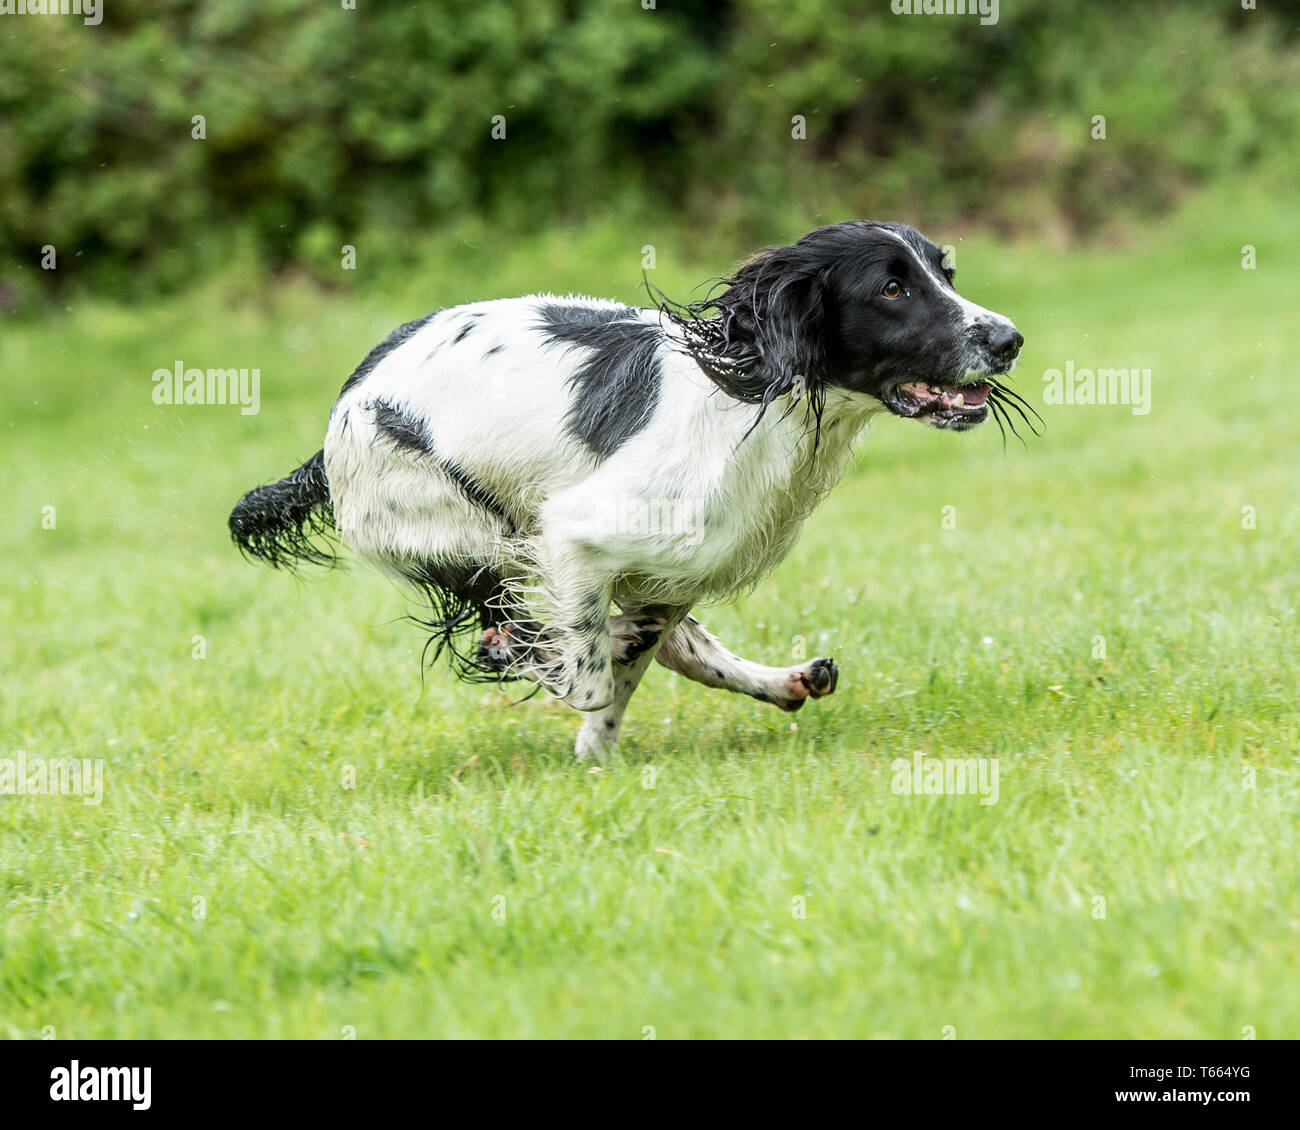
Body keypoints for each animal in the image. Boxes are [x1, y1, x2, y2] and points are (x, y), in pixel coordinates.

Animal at [231, 221, 1024, 759]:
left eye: (945, 272)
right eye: (891, 288)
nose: (1009, 339)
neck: (752, 399)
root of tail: (340, 414)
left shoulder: (681, 569)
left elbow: (632, 666)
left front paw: (598, 752)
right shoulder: (575, 535)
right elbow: (587, 675)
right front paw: (571, 671)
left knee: (664, 643)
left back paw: (785, 679)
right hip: (466, 533)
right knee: (515, 627)